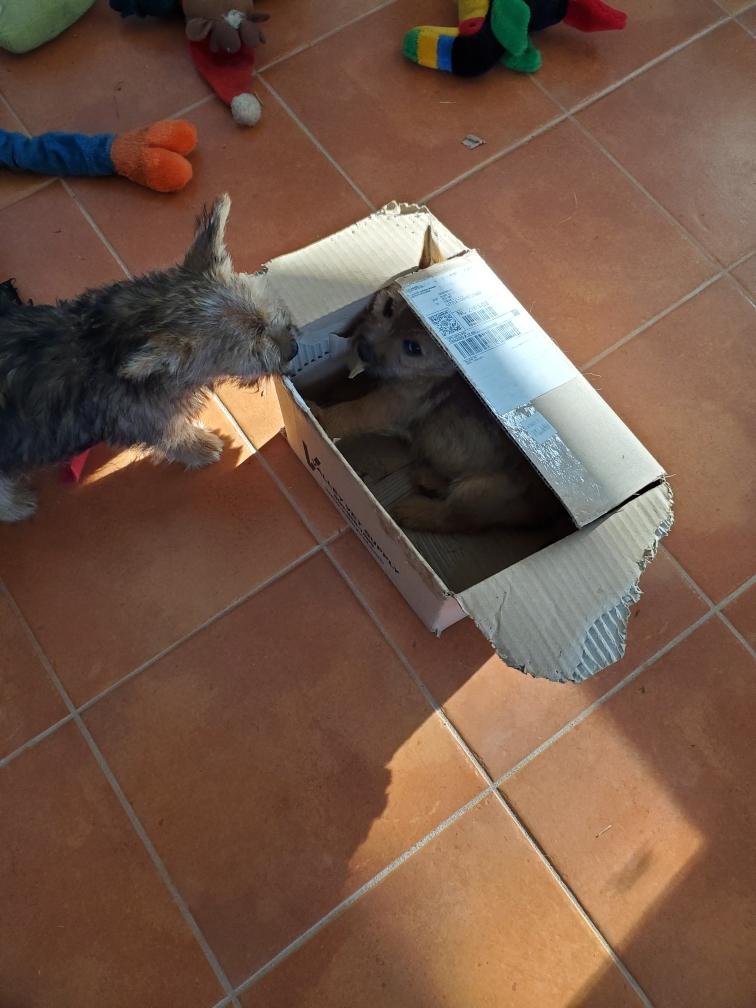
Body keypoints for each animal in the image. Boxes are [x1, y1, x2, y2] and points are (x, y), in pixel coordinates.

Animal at [0, 194, 298, 522]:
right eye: (253, 349)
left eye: (269, 314)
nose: (294, 349)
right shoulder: (147, 419)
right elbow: (176, 436)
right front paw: (202, 447)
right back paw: (17, 506)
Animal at [311, 228, 562, 535]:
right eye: (388, 307)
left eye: (412, 348)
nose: (363, 350)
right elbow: (348, 387)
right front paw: (324, 392)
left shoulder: (387, 404)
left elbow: (350, 412)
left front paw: (319, 415)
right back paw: (430, 479)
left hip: (480, 491)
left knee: (459, 519)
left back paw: (415, 511)